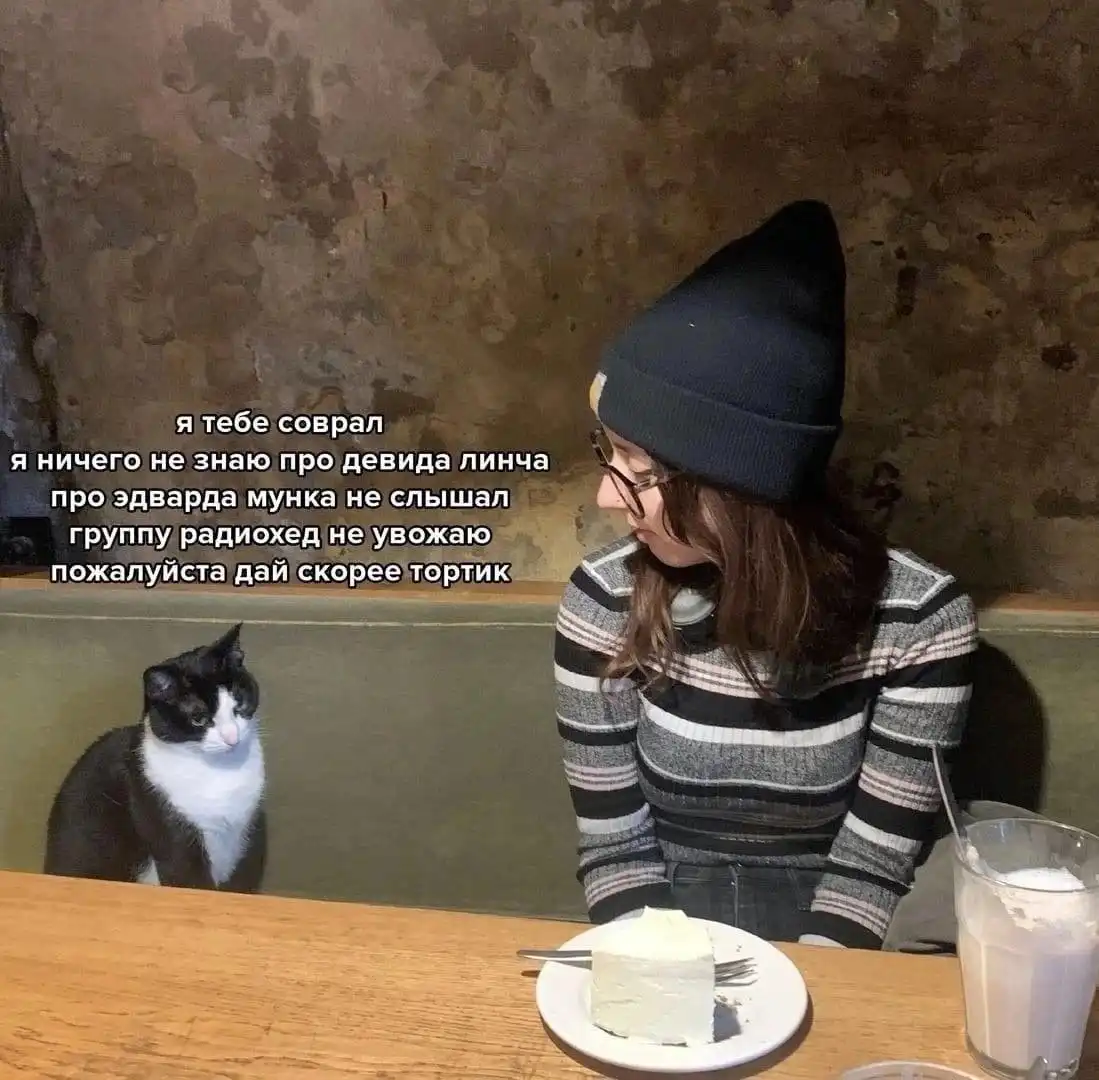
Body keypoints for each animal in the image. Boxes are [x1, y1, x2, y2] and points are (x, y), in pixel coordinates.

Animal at [43, 622, 267, 892]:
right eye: (198, 718)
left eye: (240, 704)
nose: (232, 737)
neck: (220, 771)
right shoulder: (169, 827)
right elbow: (190, 880)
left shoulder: (240, 837)